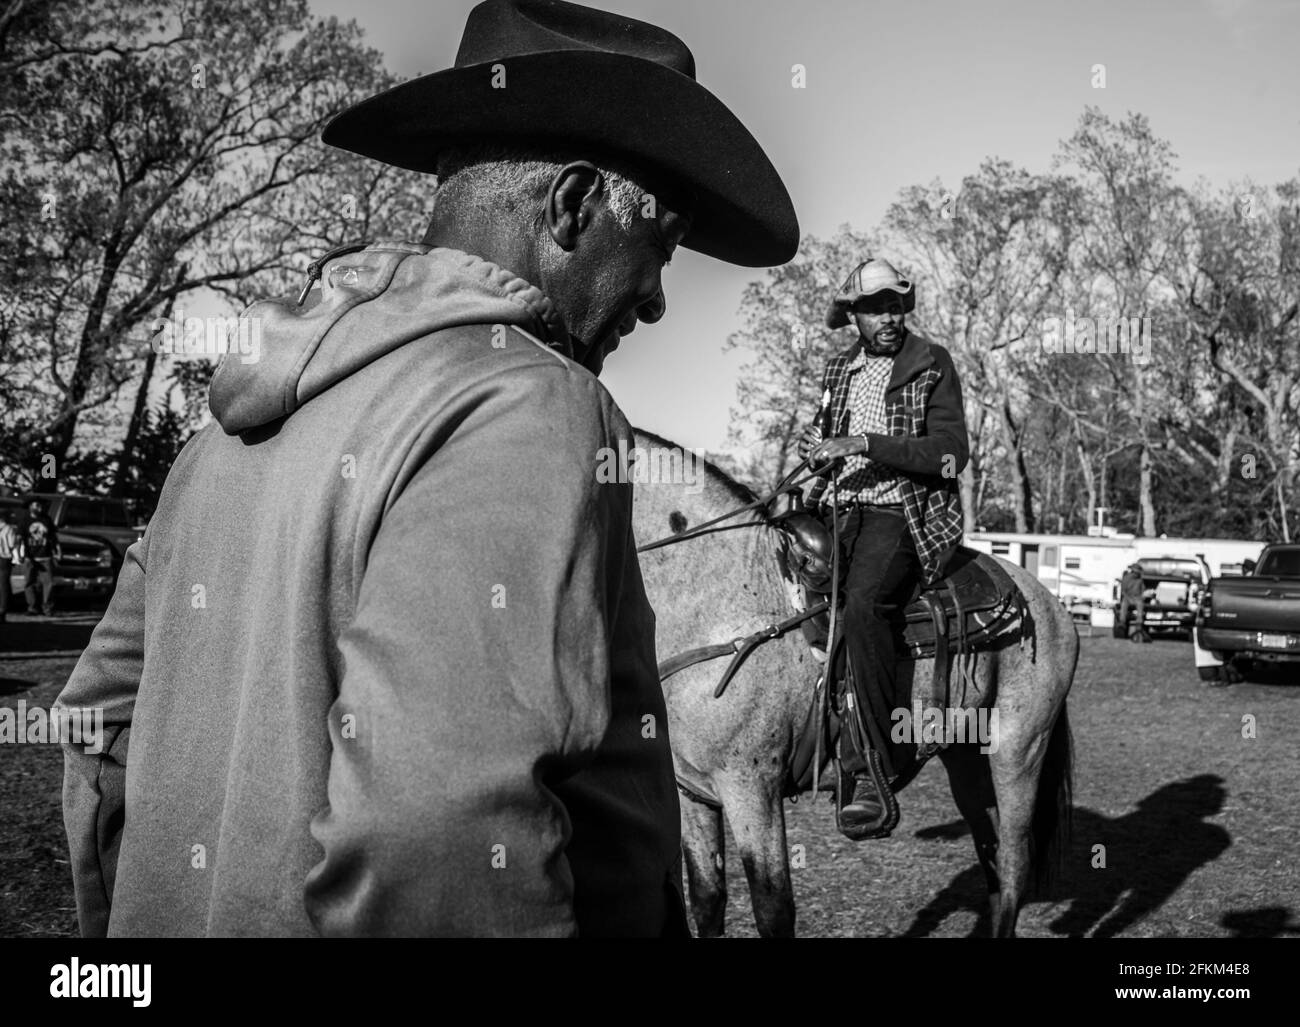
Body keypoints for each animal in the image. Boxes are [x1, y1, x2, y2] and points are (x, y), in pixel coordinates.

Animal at [629, 431, 1076, 935]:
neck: (719, 606)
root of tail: (1047, 601)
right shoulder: (693, 794)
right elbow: (706, 899)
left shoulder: (751, 789)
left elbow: (773, 908)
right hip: (967, 760)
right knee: (994, 859)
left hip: (1019, 751)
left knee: (1015, 861)